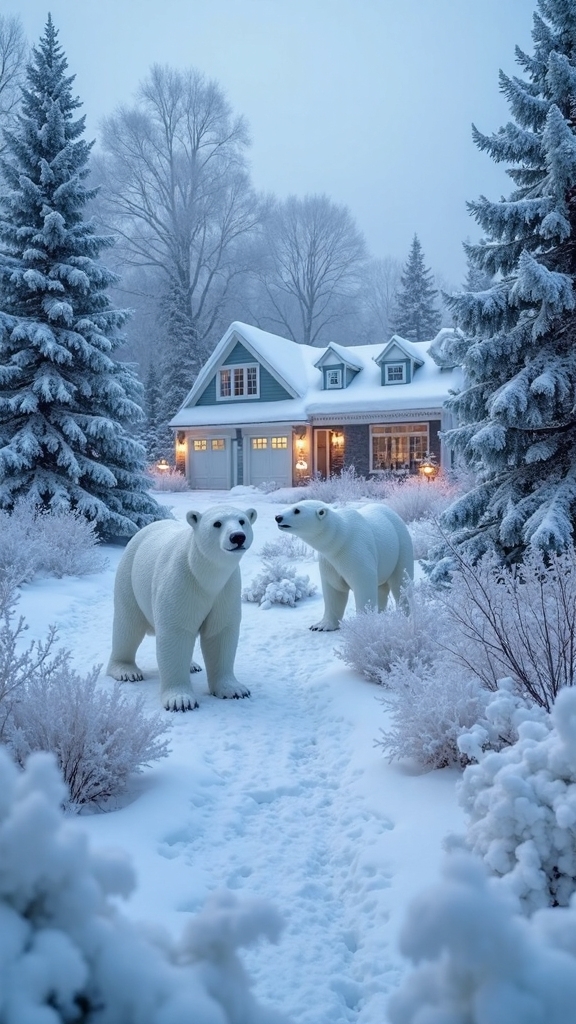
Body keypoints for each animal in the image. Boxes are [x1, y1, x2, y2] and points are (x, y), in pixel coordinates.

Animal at [107, 505, 257, 711]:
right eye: (217, 523)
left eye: (242, 521)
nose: (237, 537)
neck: (204, 576)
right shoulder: (182, 582)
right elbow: (176, 633)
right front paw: (180, 700)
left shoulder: (226, 589)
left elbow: (219, 633)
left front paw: (235, 690)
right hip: (129, 577)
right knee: (127, 626)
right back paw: (126, 670)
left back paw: (192, 665)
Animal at [274, 499, 413, 630]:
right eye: (293, 505)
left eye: (297, 510)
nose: (278, 517)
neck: (340, 539)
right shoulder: (329, 561)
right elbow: (334, 590)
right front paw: (321, 626)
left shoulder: (356, 551)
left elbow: (364, 585)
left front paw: (364, 624)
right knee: (382, 588)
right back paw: (381, 614)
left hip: (401, 546)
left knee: (401, 583)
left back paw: (404, 614)